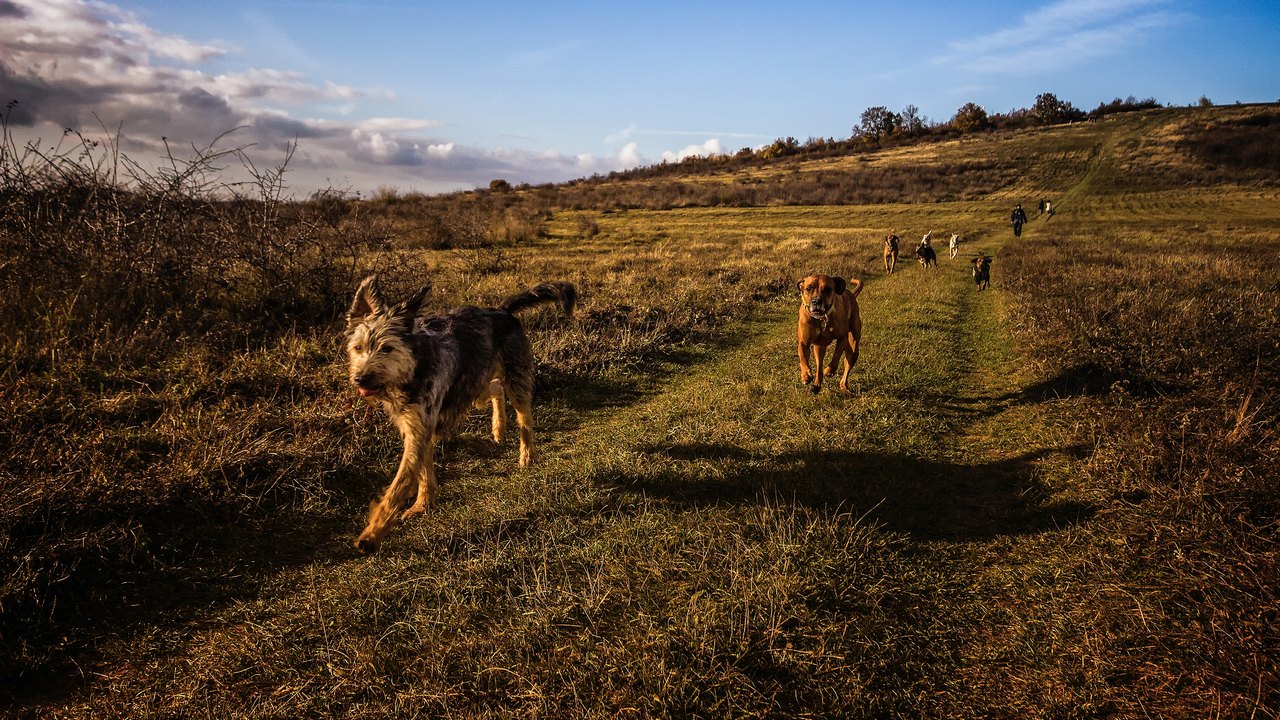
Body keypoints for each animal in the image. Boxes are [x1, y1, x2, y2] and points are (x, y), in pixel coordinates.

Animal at [345, 274, 576, 548]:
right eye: (358, 348)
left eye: (387, 348)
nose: (360, 378)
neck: (414, 367)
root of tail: (501, 310)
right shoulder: (415, 426)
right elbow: (422, 470)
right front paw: (424, 502)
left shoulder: (420, 428)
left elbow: (399, 485)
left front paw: (371, 534)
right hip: (475, 385)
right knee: (495, 388)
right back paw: (498, 429)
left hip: (515, 378)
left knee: (524, 417)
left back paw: (527, 455)